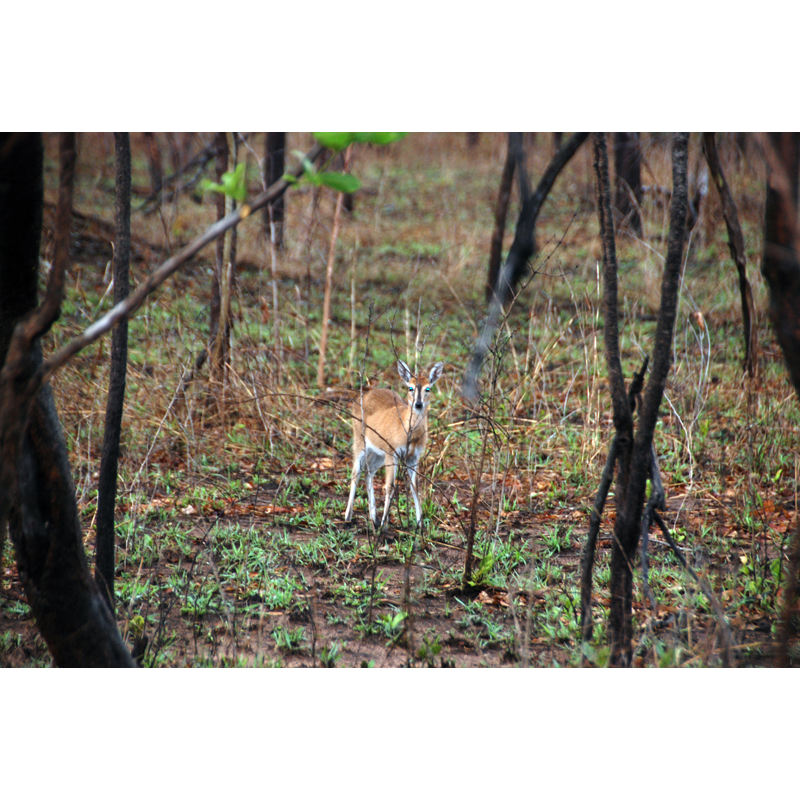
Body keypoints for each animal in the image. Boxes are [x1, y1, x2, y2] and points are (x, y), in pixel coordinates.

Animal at [342, 360, 444, 528]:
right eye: (410, 387)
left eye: (428, 388)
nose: (418, 404)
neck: (408, 433)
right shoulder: (392, 451)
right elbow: (390, 486)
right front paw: (385, 524)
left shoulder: (413, 456)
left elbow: (415, 486)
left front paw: (420, 525)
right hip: (359, 441)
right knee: (355, 473)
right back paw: (348, 517)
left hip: (378, 453)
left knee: (369, 472)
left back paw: (373, 518)